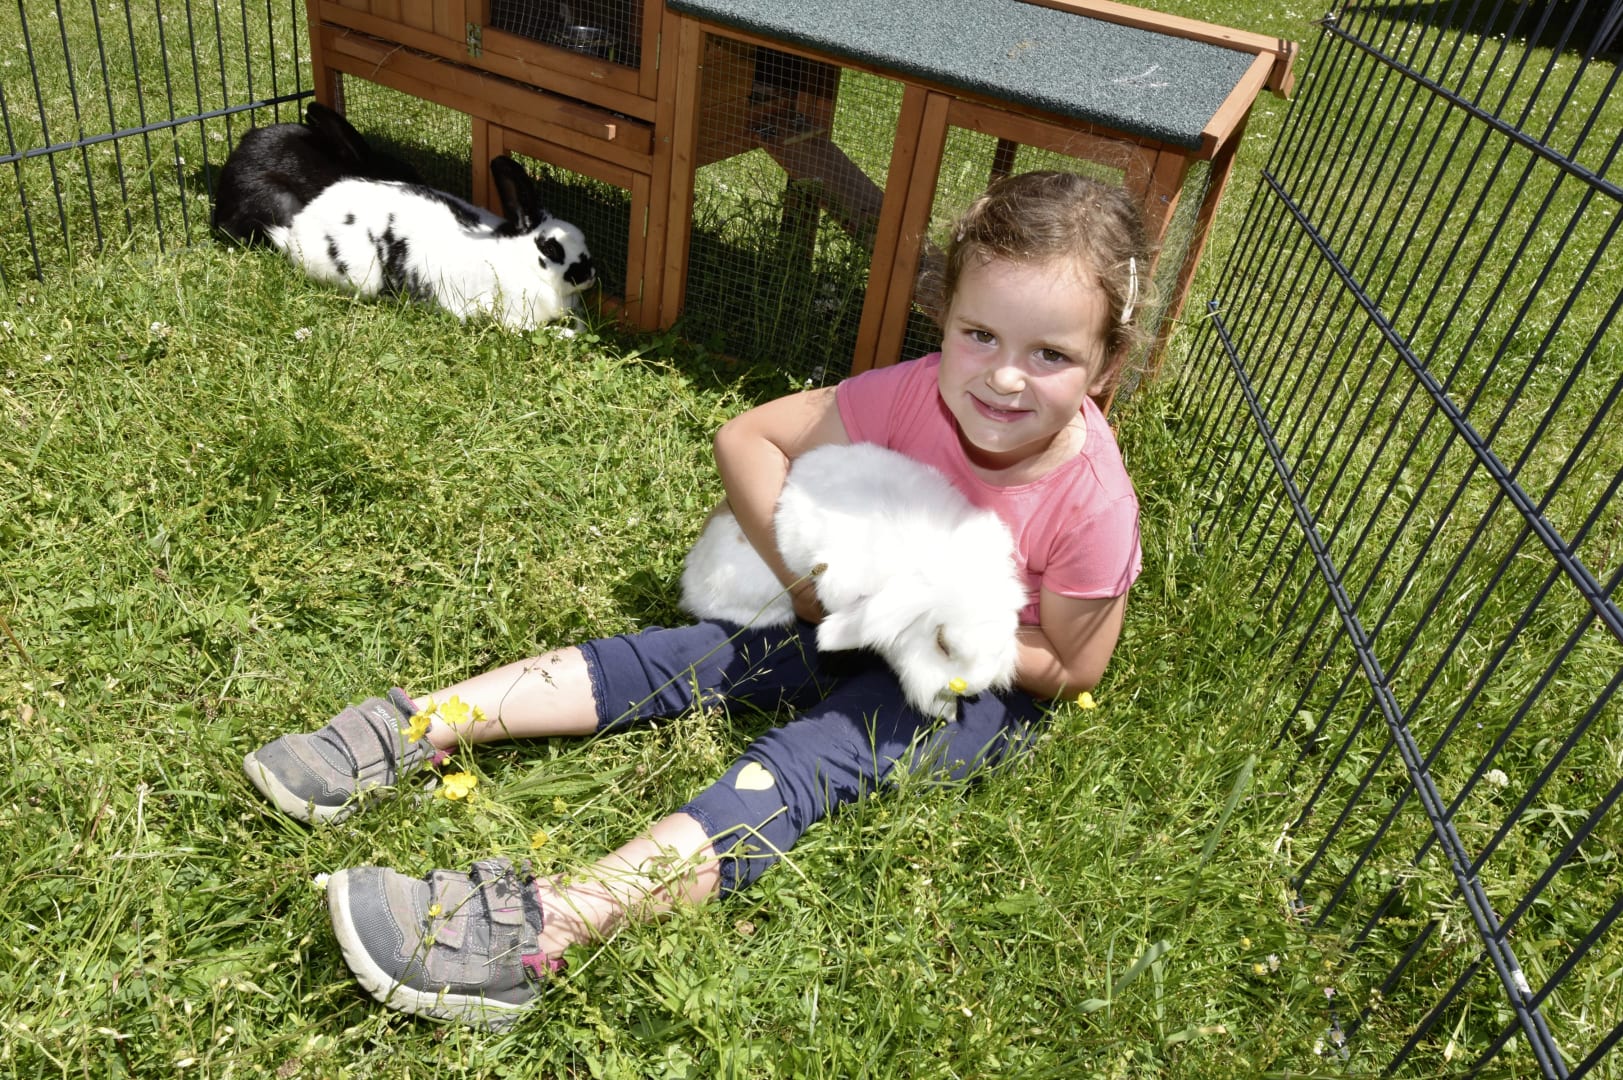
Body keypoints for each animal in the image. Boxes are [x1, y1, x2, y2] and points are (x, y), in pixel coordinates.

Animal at [265, 155, 596, 330]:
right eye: (551, 248)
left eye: (583, 239)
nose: (589, 274)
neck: (521, 260)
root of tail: (297, 230)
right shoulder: (513, 318)